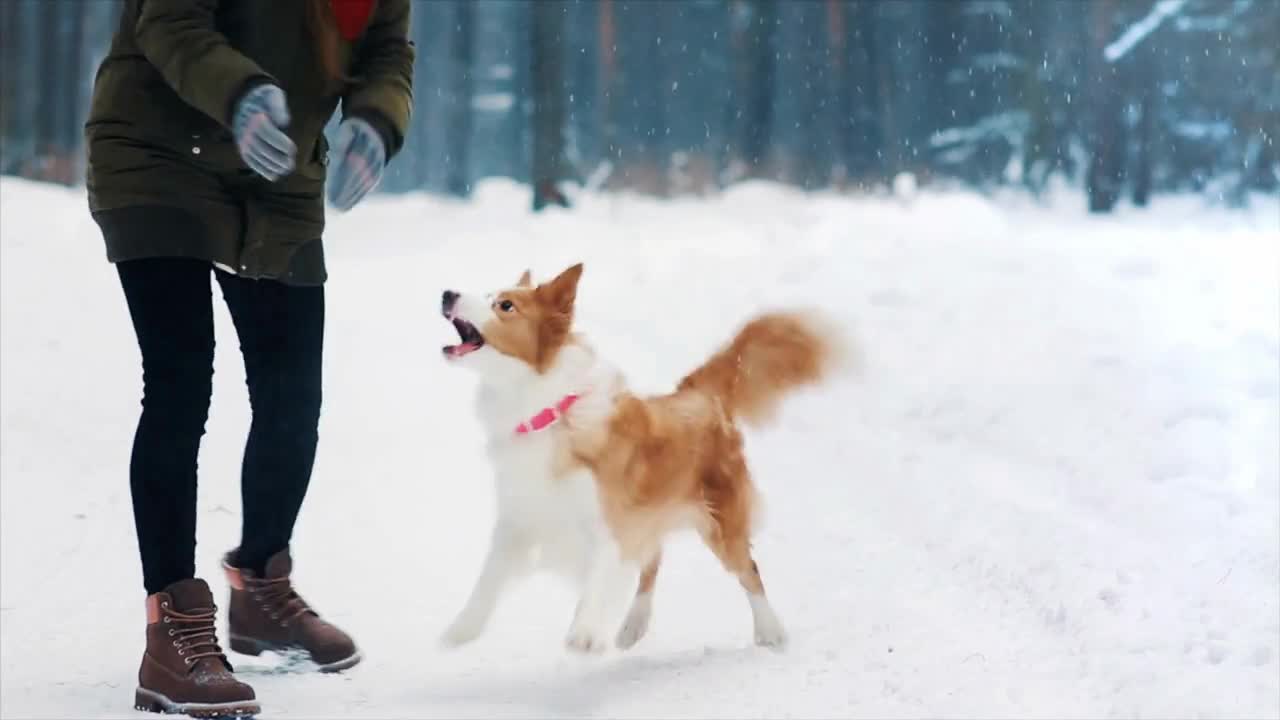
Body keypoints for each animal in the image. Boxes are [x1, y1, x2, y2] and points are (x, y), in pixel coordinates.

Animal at [435, 262, 844, 650]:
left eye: (505, 305)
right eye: (489, 293)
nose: (447, 293)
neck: (548, 411)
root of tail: (697, 393)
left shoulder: (612, 518)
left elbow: (601, 571)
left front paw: (584, 634)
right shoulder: (519, 516)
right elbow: (489, 576)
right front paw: (462, 628)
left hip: (721, 522)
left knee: (748, 569)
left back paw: (770, 630)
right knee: (653, 561)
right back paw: (634, 625)